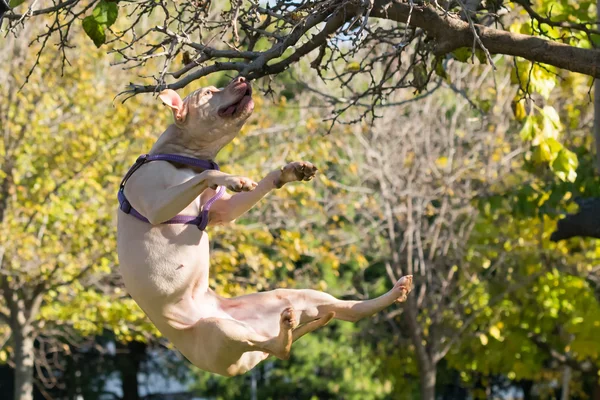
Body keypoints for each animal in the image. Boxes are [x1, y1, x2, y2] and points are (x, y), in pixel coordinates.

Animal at [116, 77, 412, 376]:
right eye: (209, 93)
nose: (241, 79)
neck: (182, 159)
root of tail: (253, 354)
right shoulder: (156, 206)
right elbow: (211, 173)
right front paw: (231, 177)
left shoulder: (222, 212)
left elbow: (246, 185)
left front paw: (288, 172)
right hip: (220, 330)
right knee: (279, 349)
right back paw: (285, 330)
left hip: (291, 298)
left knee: (348, 312)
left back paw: (389, 295)